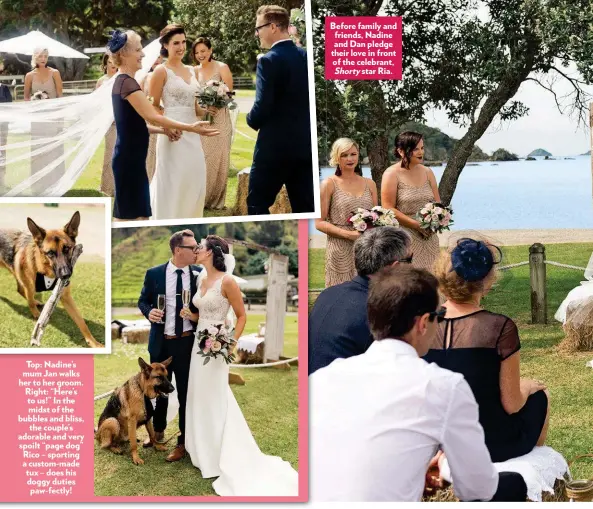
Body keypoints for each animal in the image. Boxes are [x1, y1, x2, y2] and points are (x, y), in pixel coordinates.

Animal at [0, 209, 100, 346]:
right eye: (50, 253)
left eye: (67, 248)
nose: (65, 275)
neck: (45, 270)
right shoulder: (29, 285)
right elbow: (30, 303)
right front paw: (37, 317)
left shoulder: (66, 296)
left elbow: (81, 321)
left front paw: (94, 343)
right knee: (25, 293)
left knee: (21, 290)